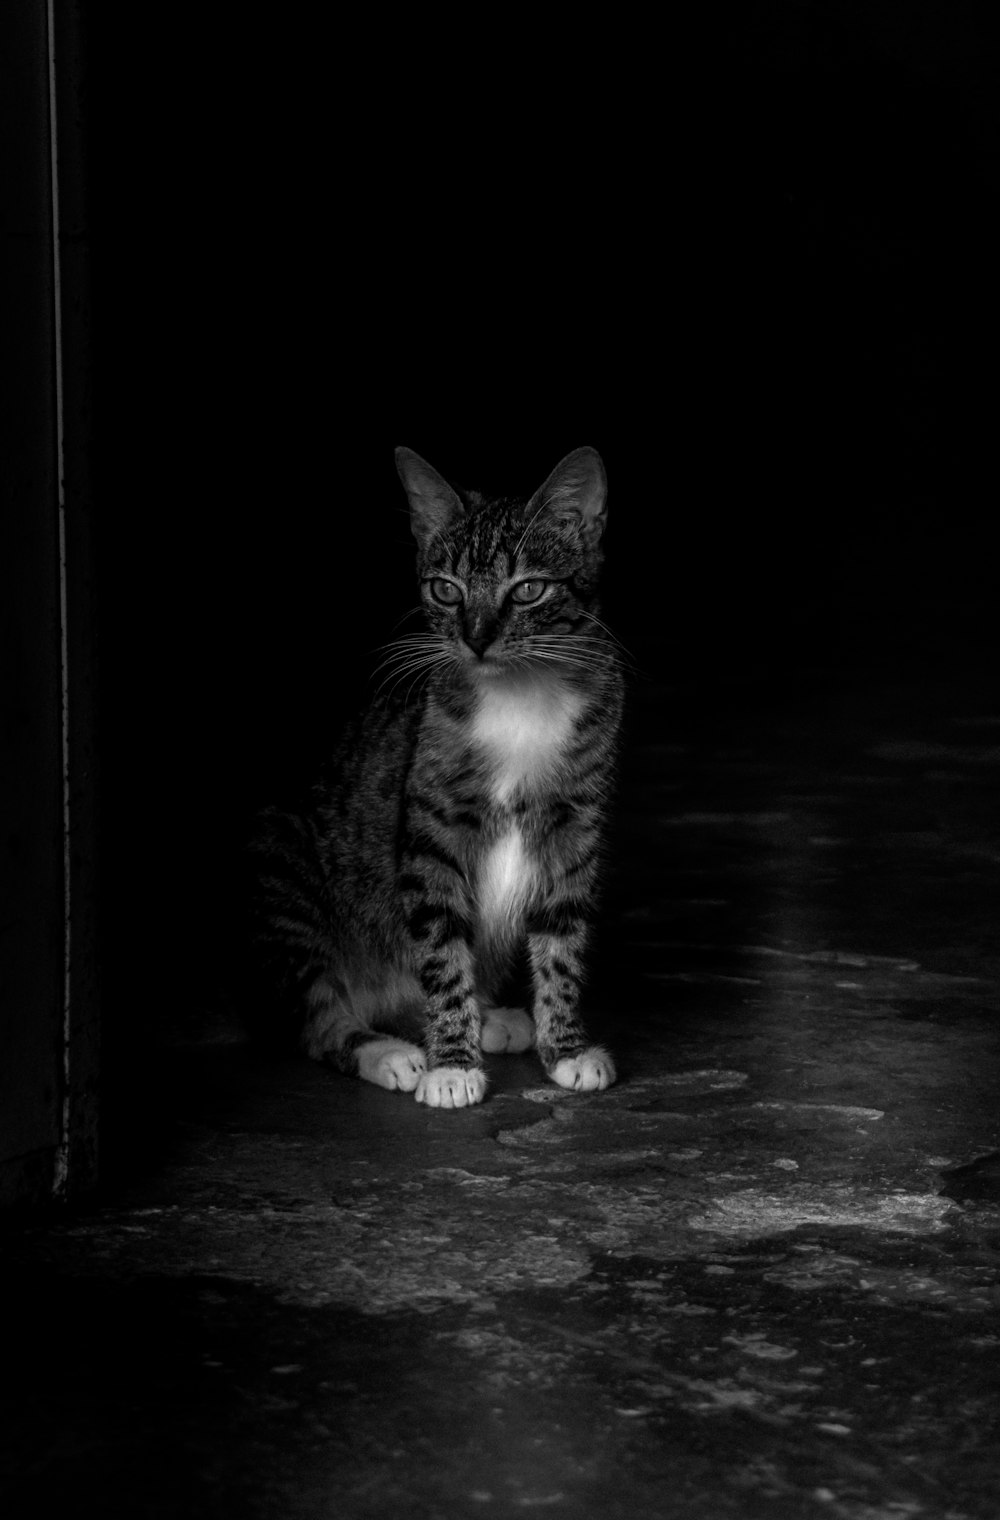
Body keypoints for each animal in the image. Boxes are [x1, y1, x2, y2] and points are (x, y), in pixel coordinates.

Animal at [253, 443, 620, 1112]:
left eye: (529, 589)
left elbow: (562, 937)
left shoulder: (574, 824)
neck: (518, 694)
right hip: (283, 868)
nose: (475, 639)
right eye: (446, 590)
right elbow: (442, 942)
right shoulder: (431, 828)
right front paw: (452, 1064)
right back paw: (391, 1052)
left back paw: (495, 1018)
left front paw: (567, 1047)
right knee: (317, 1020)